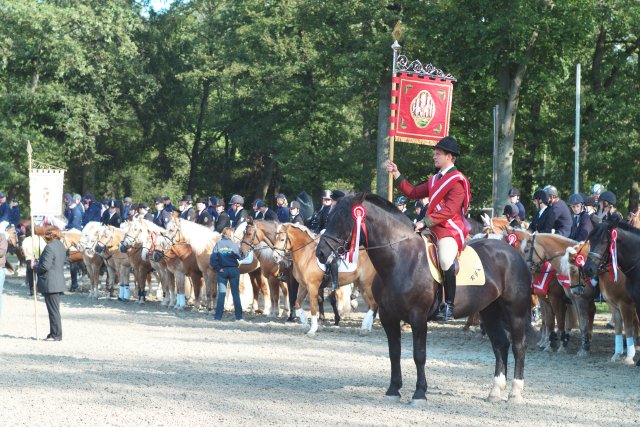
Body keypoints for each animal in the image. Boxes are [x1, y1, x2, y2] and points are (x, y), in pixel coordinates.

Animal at [316, 196, 528, 406]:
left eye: (343, 220)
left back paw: (515, 392)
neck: (399, 259)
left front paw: (419, 393)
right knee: (500, 344)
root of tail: (512, 251)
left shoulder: (418, 317)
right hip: (490, 311)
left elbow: (419, 355)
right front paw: (393, 390)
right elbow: (394, 353)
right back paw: (495, 391)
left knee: (518, 346)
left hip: (515, 312)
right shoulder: (388, 316)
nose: (320, 253)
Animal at [584, 219, 640, 366]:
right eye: (590, 240)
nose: (588, 269)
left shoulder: (626, 304)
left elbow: (628, 327)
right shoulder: (615, 305)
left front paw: (629, 356)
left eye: (605, 242)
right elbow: (619, 327)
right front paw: (618, 354)